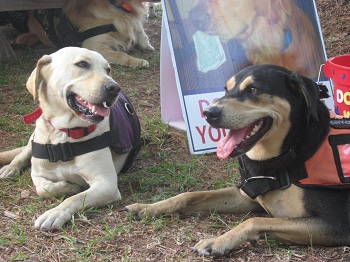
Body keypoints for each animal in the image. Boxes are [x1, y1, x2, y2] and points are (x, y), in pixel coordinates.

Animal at [127, 64, 350, 256]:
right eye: (226, 89)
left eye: (253, 89)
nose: (208, 112)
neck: (285, 154)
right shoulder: (245, 193)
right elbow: (189, 195)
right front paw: (147, 208)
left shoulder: (335, 224)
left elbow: (254, 221)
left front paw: (217, 241)